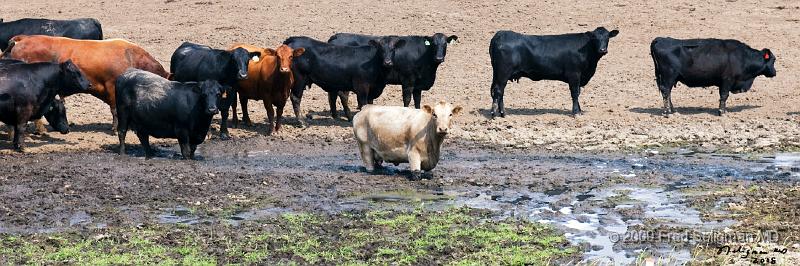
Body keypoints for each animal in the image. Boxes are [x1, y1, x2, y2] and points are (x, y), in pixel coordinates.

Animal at [488, 27, 620, 117]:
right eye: (595, 38)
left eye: (607, 38)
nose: (602, 50)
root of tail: (500, 34)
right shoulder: (574, 74)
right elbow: (575, 93)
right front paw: (576, 112)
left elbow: (578, 93)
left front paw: (580, 110)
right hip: (503, 72)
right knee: (498, 90)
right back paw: (496, 113)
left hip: (498, 74)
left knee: (499, 92)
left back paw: (502, 113)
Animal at [648, 37, 776, 116]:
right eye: (774, 60)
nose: (775, 72)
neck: (742, 56)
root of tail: (660, 39)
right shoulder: (727, 80)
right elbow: (724, 96)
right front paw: (722, 112)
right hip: (668, 76)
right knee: (666, 91)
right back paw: (667, 112)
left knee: (668, 93)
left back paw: (673, 110)